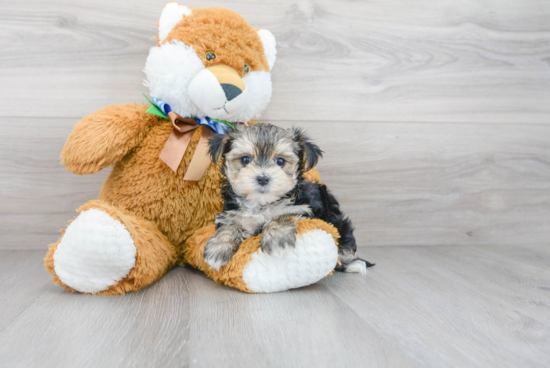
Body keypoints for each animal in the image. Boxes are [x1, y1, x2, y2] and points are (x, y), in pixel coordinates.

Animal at [205, 123, 378, 274]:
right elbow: (229, 226)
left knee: (346, 250)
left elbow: (282, 215)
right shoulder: (232, 214)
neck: (261, 203)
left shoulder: (303, 208)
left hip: (339, 224)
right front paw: (218, 248)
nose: (263, 178)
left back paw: (353, 264)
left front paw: (277, 241)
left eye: (280, 161)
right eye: (245, 159)